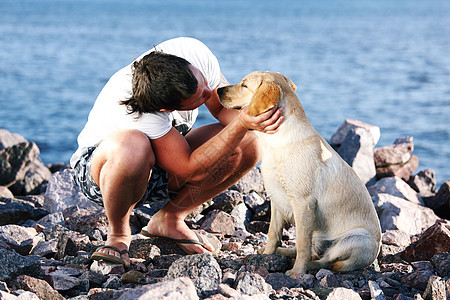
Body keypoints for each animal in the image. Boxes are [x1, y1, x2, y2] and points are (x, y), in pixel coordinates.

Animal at [217, 71, 380, 276]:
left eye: (244, 85)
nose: (217, 90)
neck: (277, 142)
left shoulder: (303, 203)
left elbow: (302, 245)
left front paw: (297, 272)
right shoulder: (276, 199)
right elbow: (273, 234)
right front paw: (268, 255)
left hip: (356, 239)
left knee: (324, 260)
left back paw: (304, 266)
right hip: (319, 235)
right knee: (313, 252)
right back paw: (282, 252)